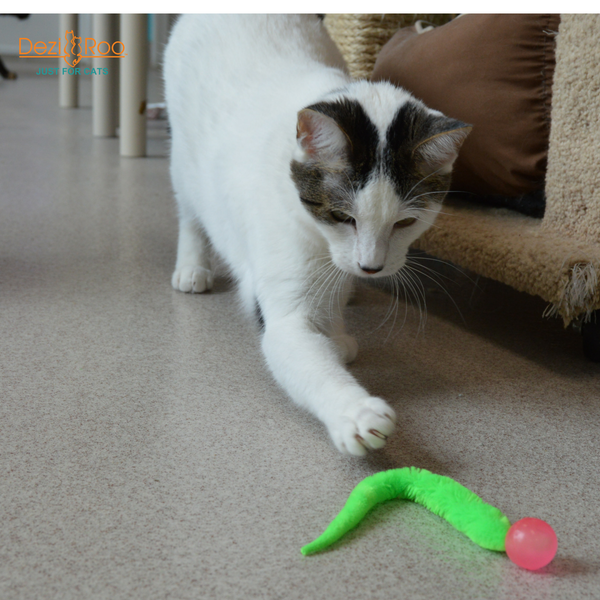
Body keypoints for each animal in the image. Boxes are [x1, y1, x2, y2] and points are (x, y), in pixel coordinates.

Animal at [163, 14, 468, 454]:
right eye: (341, 216)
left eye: (405, 223)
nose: (370, 267)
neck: (322, 244)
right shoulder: (285, 305)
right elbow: (305, 355)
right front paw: (354, 412)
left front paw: (337, 334)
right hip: (183, 161)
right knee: (189, 210)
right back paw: (192, 266)